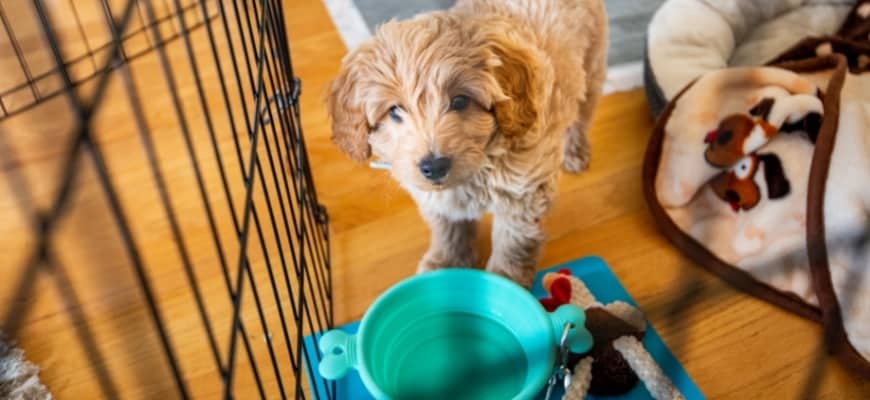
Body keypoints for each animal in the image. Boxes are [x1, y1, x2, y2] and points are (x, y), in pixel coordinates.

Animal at [326, 0, 608, 288]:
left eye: (460, 101)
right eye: (394, 111)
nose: (434, 166)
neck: (481, 163)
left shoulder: (523, 195)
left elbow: (513, 244)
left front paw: (506, 281)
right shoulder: (438, 200)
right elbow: (449, 230)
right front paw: (445, 263)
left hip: (592, 62)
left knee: (582, 113)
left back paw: (575, 150)